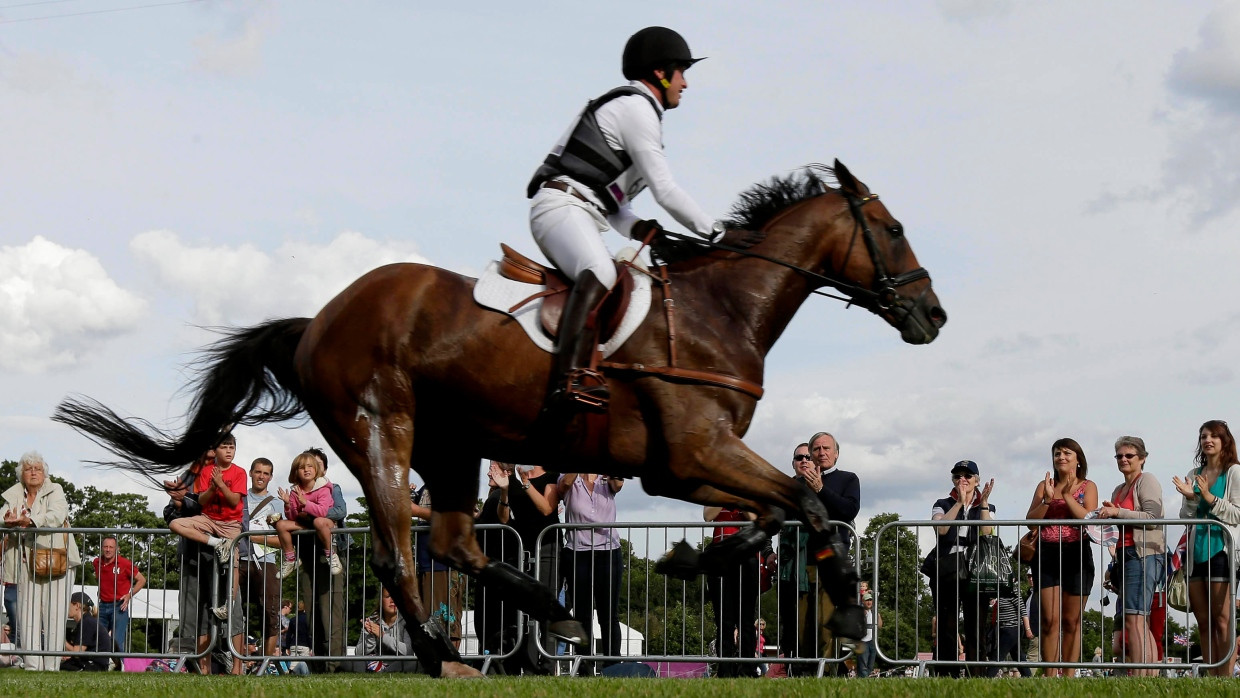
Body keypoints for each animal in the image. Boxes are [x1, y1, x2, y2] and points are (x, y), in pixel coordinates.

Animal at [55, 159, 947, 679]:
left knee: (452, 544)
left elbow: (781, 509)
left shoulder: (695, 464)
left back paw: (548, 614)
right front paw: (847, 608)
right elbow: (803, 504)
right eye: (894, 228)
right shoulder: (691, 455)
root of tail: (315, 320)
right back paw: (443, 656)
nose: (933, 315)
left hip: (449, 448)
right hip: (383, 434)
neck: (720, 310)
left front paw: (697, 560)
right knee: (400, 556)